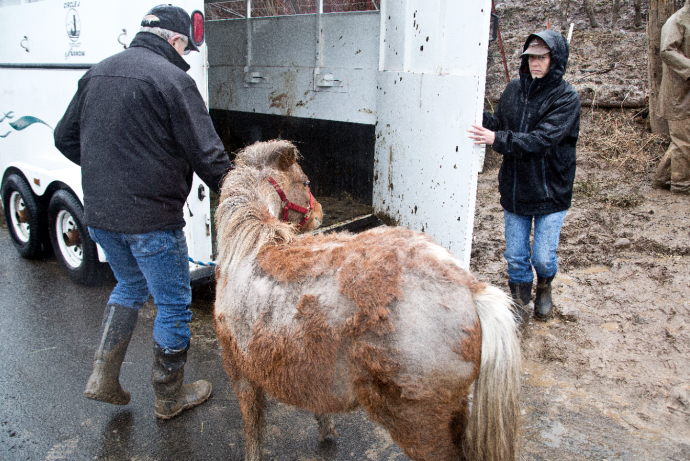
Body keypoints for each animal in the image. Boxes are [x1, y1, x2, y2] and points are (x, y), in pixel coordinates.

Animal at [212, 140, 520, 460]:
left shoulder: (241, 374)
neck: (248, 248)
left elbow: (253, 430)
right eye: (306, 182)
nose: (319, 212)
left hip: (421, 427)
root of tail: (470, 288)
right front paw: (327, 433)